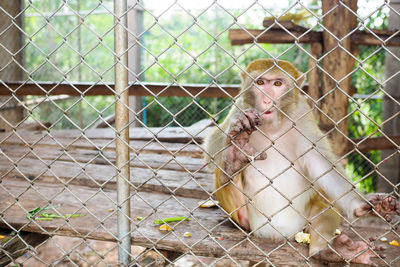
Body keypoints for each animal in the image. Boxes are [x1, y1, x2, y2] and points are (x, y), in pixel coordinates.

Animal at [203, 58, 400, 266]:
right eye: (260, 83)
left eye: (278, 84)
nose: (266, 100)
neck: (273, 128)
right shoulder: (240, 106)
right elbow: (210, 151)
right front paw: (237, 129)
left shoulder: (302, 114)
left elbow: (321, 163)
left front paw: (363, 206)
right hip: (243, 220)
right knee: (223, 172)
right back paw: (234, 159)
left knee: (325, 204)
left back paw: (335, 251)